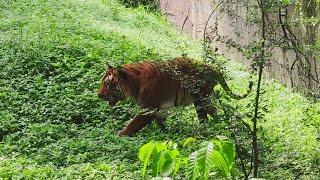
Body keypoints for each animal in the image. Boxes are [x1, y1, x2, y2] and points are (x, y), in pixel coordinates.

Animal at [97, 57, 252, 136]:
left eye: (107, 84)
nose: (98, 95)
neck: (134, 83)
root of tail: (213, 68)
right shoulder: (160, 108)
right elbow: (161, 121)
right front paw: (166, 133)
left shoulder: (148, 109)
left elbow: (133, 123)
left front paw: (121, 133)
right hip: (204, 99)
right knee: (213, 111)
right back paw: (218, 127)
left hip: (201, 99)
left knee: (206, 116)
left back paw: (203, 131)